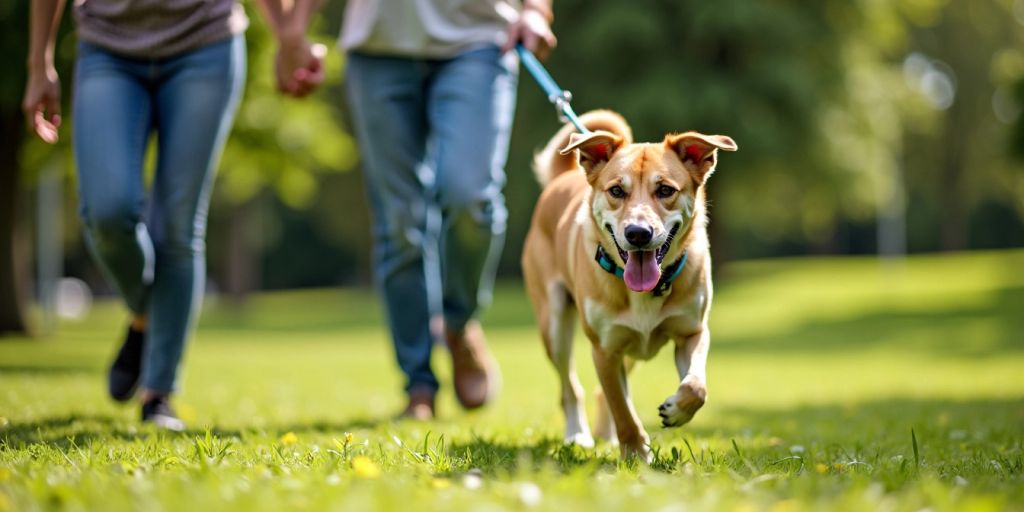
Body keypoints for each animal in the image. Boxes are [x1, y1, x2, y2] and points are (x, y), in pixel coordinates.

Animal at [520, 110, 737, 462]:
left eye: (665, 190)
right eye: (616, 191)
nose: (638, 233)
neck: (646, 292)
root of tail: (561, 179)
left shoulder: (692, 332)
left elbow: (696, 386)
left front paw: (676, 410)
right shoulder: (605, 349)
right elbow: (622, 409)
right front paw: (635, 453)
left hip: (633, 348)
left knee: (602, 392)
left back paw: (605, 436)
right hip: (554, 326)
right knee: (571, 389)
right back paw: (578, 435)